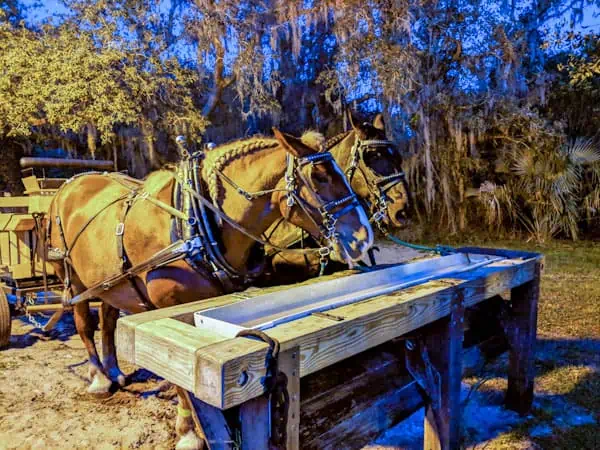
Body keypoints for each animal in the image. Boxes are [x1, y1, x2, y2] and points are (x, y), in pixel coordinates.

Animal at [42, 128, 370, 448]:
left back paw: (113, 371)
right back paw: (99, 378)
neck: (197, 225)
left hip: (110, 281)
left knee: (108, 322)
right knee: (85, 325)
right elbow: (179, 375)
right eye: (320, 176)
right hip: (72, 279)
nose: (363, 237)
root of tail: (72, 183)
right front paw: (188, 433)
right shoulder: (166, 308)